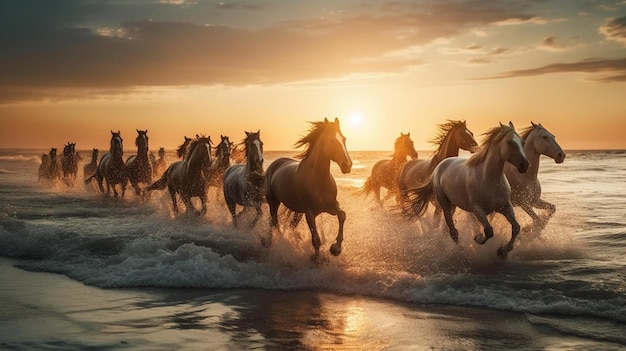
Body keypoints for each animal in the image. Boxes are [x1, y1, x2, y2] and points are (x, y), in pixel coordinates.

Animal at [264, 118, 352, 262]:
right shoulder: (310, 213)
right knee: (274, 222)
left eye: (344, 139)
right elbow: (316, 239)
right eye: (331, 140)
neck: (318, 180)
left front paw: (335, 249)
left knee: (289, 225)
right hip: (273, 202)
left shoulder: (331, 206)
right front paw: (316, 258)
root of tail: (274, 164)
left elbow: (342, 215)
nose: (347, 165)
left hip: (297, 211)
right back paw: (275, 243)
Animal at [400, 122, 528, 260]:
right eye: (510, 142)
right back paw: (460, 251)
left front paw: (502, 252)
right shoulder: (477, 209)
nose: (525, 165)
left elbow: (516, 228)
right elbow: (488, 231)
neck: (489, 179)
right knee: (453, 231)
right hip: (443, 204)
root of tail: (439, 167)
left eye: (522, 142)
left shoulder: (505, 206)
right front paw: (477, 238)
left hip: (452, 205)